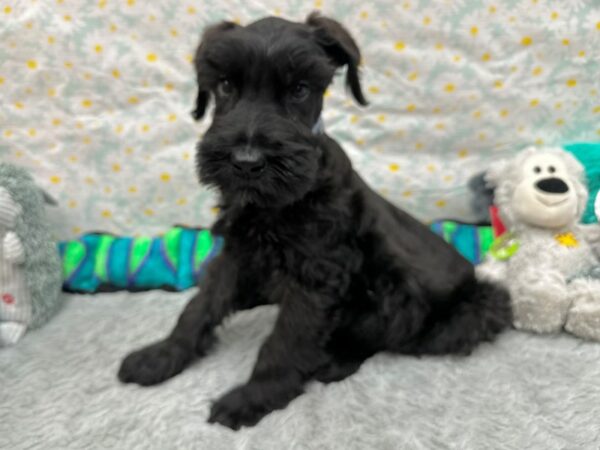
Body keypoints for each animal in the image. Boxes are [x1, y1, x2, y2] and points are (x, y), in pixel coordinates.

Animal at [119, 13, 512, 428]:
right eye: (225, 85)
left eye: (299, 89)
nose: (246, 162)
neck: (275, 204)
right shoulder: (236, 254)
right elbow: (199, 307)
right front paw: (161, 356)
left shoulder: (316, 276)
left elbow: (285, 340)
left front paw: (254, 396)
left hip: (452, 306)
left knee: (386, 338)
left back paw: (333, 363)